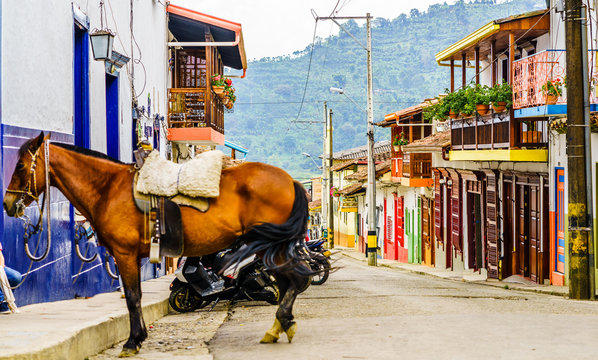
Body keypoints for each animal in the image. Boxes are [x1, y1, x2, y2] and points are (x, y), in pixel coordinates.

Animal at [3, 133, 314, 358]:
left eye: (20, 166)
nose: (8, 203)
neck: (108, 188)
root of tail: (290, 181)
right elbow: (136, 296)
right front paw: (139, 336)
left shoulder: (124, 254)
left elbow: (132, 297)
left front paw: (132, 342)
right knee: (289, 282)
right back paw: (279, 326)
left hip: (270, 245)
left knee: (297, 280)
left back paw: (281, 323)